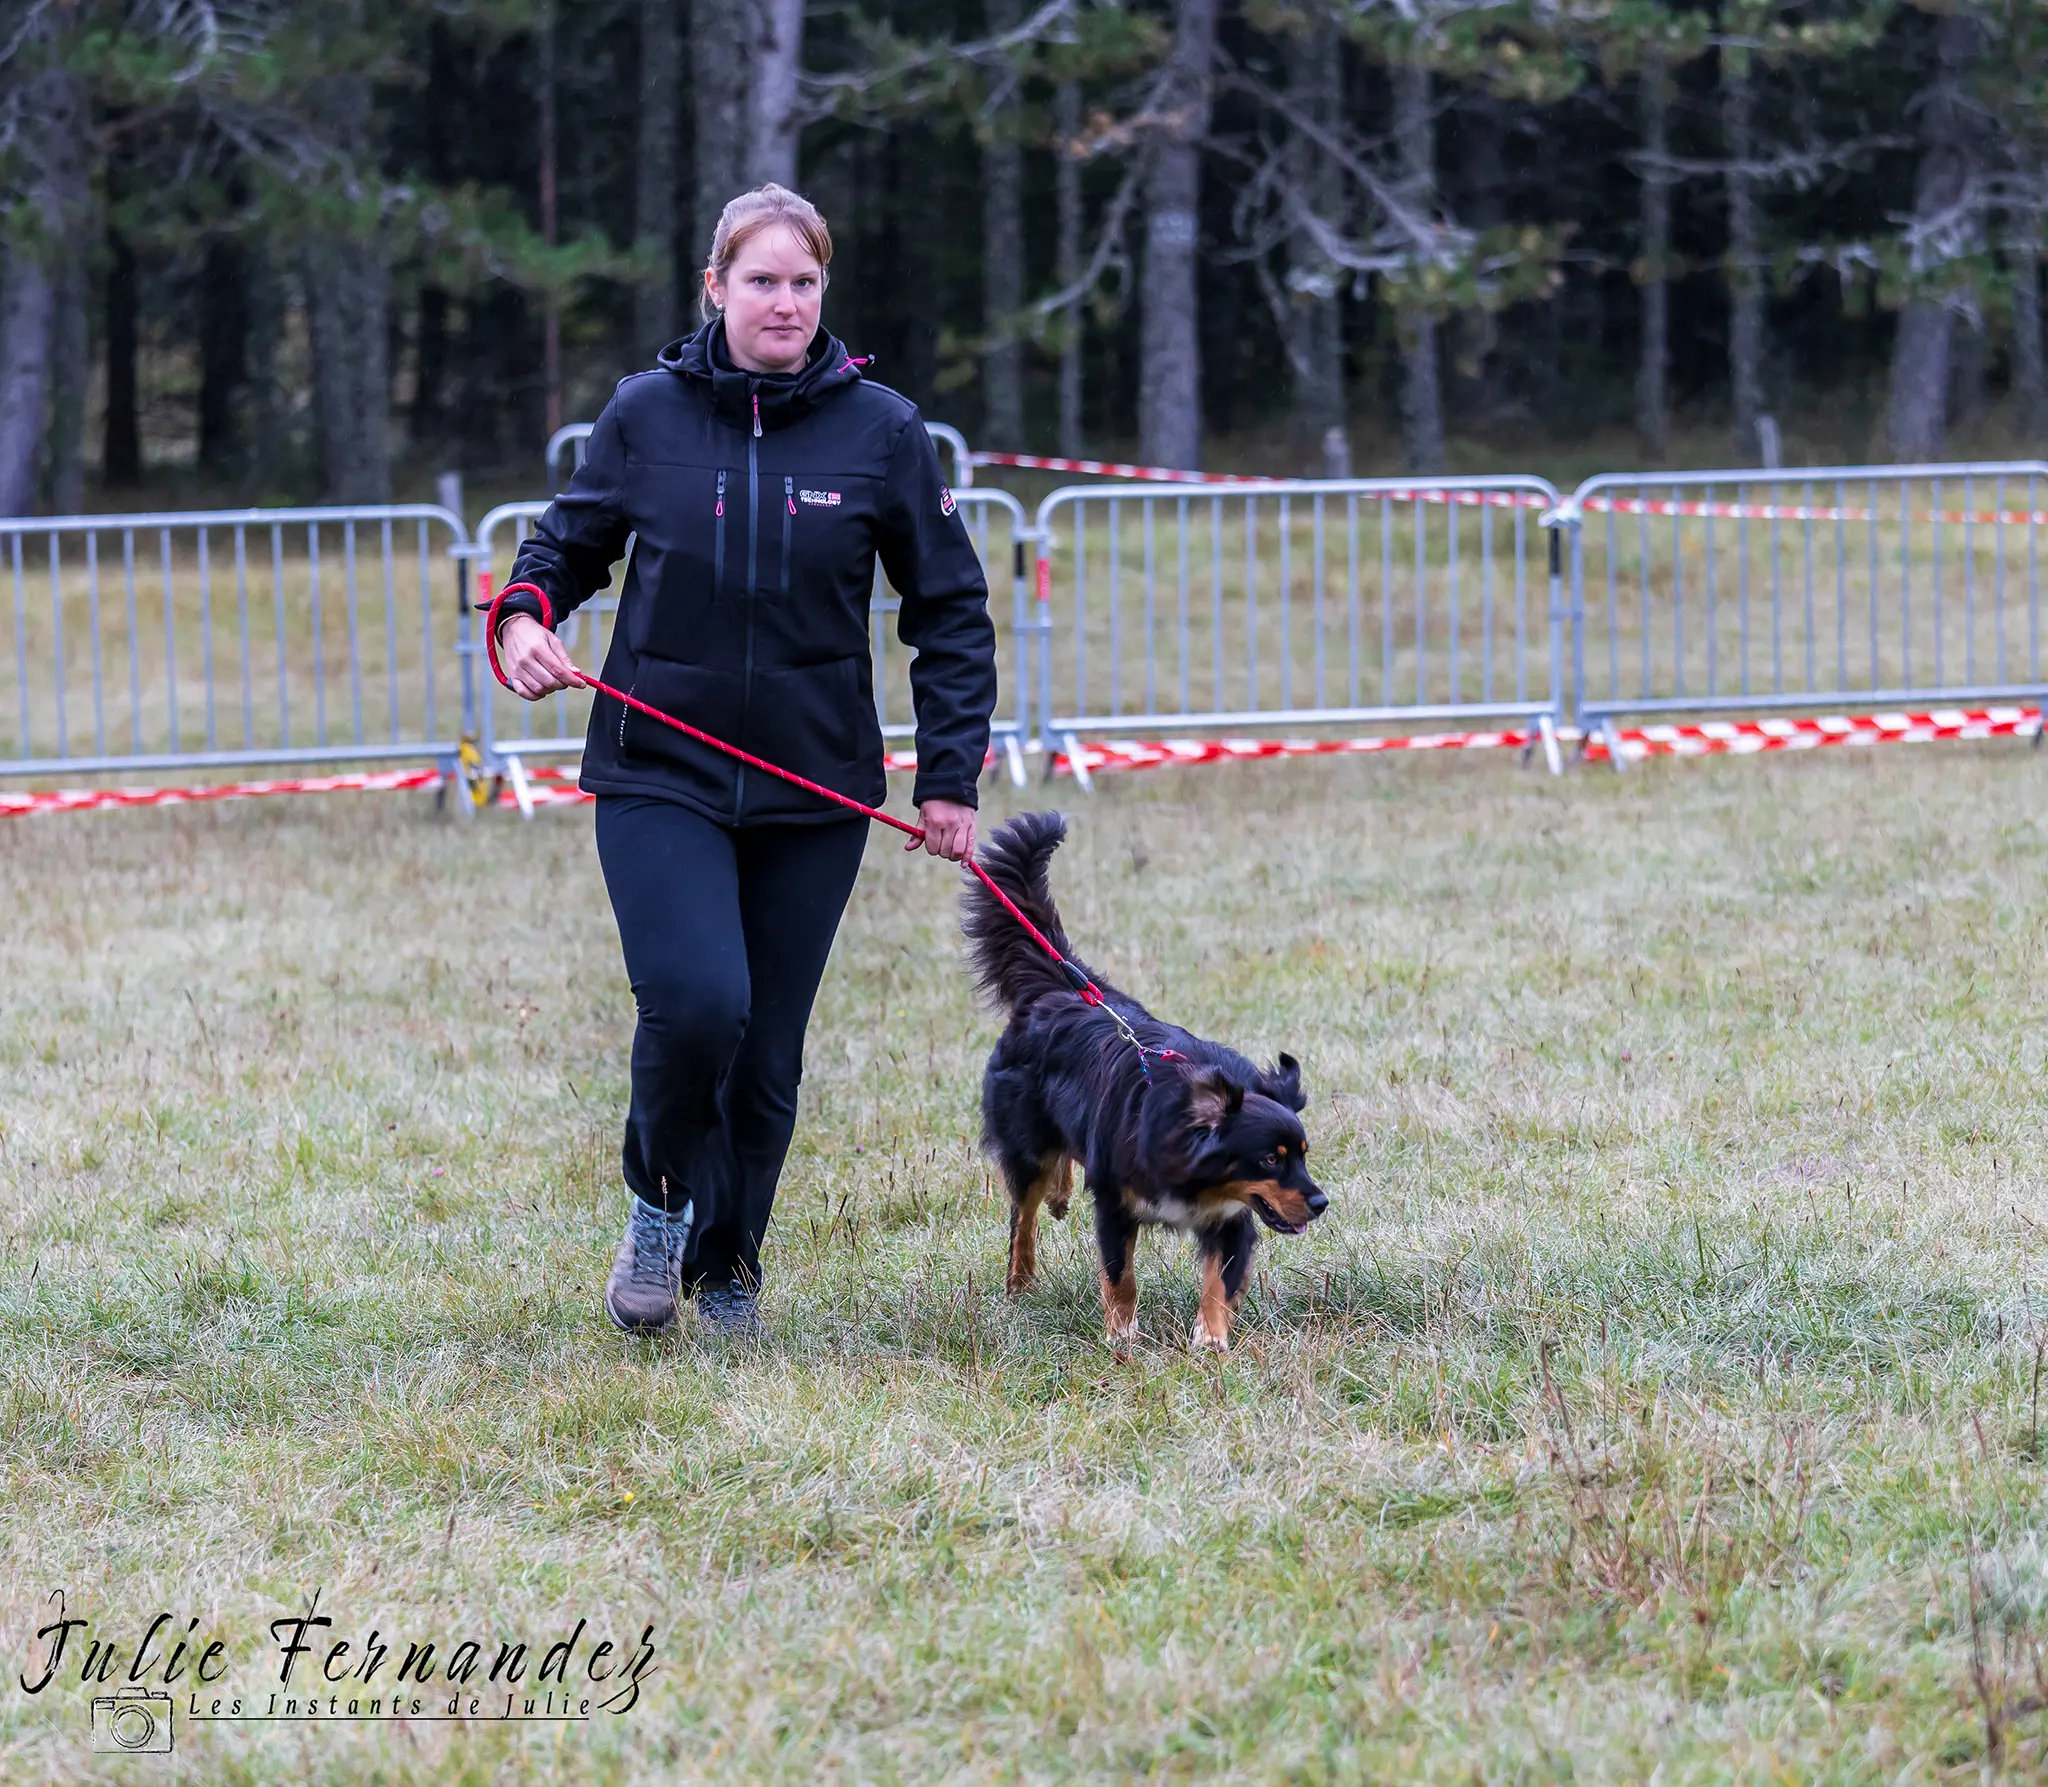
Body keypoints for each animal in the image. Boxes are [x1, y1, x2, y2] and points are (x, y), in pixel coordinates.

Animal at [962, 810, 1327, 1350]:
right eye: (1269, 1159)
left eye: (1302, 1156)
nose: (1321, 1202)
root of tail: (1060, 988)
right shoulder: (1115, 1204)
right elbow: (1119, 1276)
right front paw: (1121, 1337)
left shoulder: (1234, 1215)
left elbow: (1220, 1280)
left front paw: (1211, 1340)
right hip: (1025, 1141)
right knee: (1022, 1215)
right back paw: (1020, 1278)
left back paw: (1059, 1194)